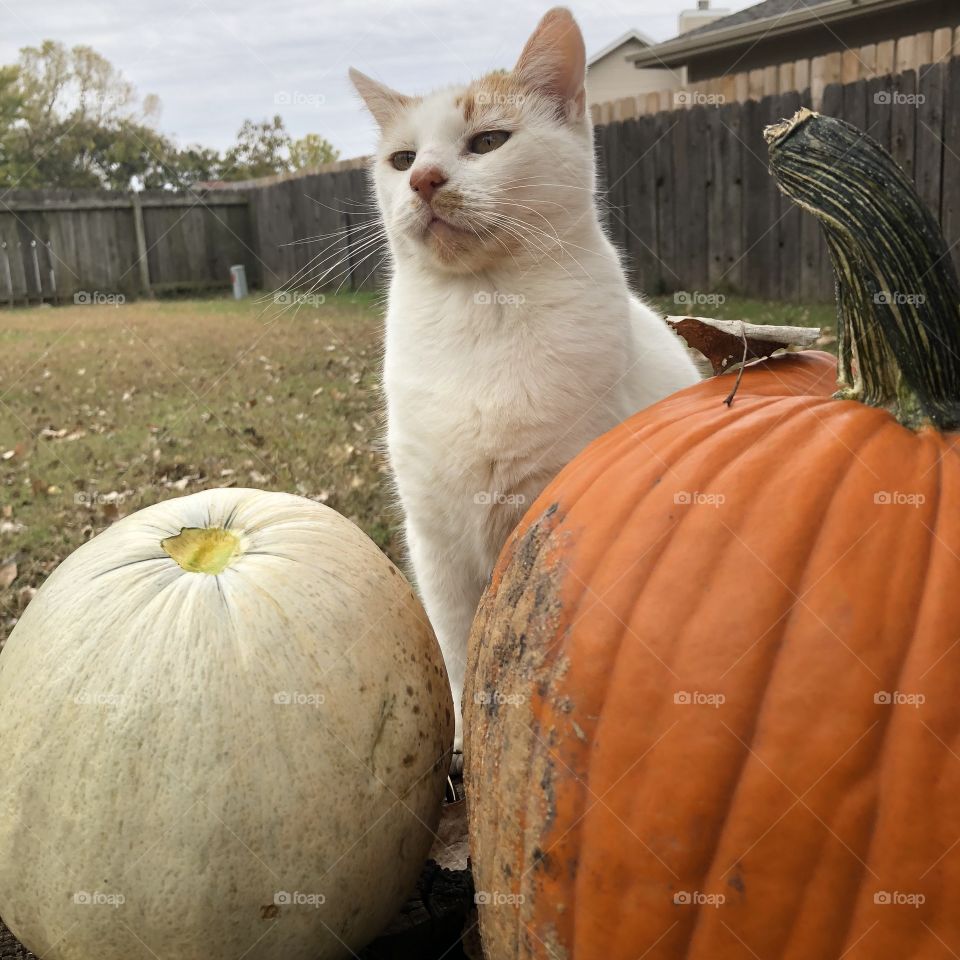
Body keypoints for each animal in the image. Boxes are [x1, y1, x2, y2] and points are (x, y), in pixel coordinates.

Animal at [350, 5, 696, 752]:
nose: (423, 180)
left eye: (487, 141)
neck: (484, 311)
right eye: (401, 159)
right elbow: (457, 652)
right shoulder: (437, 541)